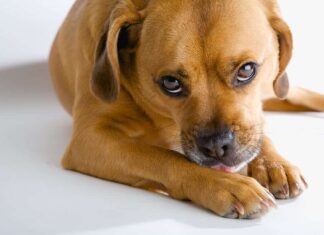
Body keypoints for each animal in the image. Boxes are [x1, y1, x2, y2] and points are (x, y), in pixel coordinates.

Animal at [48, 0, 324, 219]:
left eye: (246, 70)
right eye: (171, 83)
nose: (216, 146)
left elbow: (256, 128)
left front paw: (271, 163)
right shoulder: (90, 139)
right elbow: (165, 158)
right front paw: (225, 184)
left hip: (277, 88)